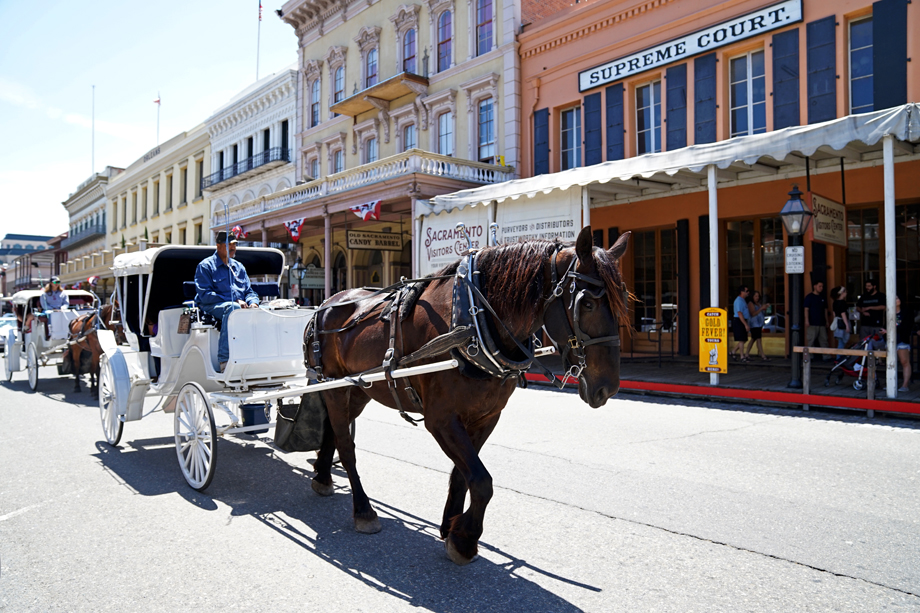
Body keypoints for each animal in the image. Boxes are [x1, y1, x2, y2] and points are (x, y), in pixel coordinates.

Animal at [306, 225, 628, 564]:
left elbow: (466, 474)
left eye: (622, 299)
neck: (472, 320)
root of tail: (325, 305)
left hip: (357, 390)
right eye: (586, 303)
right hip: (335, 387)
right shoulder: (441, 419)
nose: (608, 387)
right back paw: (363, 510)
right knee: (346, 445)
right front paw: (465, 539)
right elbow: (482, 481)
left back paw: (323, 476)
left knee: (334, 431)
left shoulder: (486, 416)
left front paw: (452, 526)